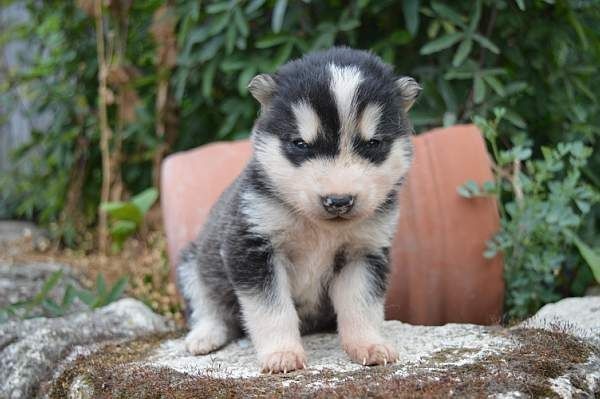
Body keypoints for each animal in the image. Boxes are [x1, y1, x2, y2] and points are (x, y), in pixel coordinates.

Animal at [177, 47, 422, 376]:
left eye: (373, 143)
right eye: (300, 144)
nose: (339, 201)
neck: (320, 229)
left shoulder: (364, 253)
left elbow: (362, 304)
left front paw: (369, 344)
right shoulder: (252, 247)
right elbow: (272, 309)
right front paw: (282, 353)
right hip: (192, 262)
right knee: (207, 306)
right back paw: (205, 336)